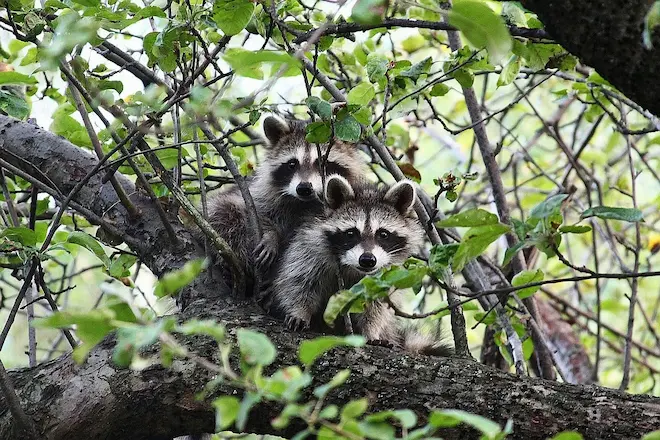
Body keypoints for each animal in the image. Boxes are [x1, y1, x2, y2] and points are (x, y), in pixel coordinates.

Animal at [205, 115, 364, 290]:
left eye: (322, 163)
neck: (305, 202)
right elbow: (255, 210)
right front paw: (270, 235)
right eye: (292, 164)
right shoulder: (259, 193)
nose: (304, 188)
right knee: (224, 212)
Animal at [268, 174, 454, 356]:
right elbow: (298, 281)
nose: (367, 260)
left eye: (383, 234)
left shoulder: (386, 274)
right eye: (351, 233)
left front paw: (370, 331)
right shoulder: (309, 247)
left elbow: (376, 306)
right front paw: (299, 311)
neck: (352, 267)